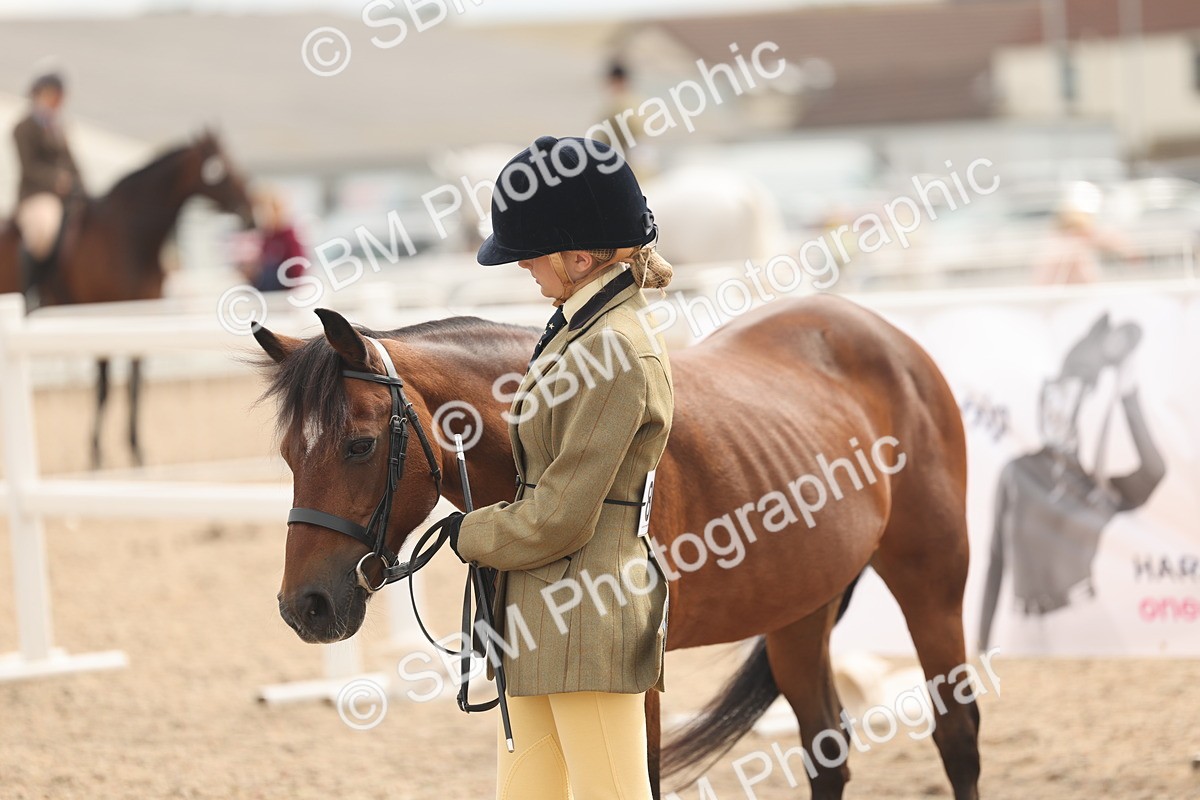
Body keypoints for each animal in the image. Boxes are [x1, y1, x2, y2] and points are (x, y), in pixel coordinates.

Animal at [0, 130, 254, 467]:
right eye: (220, 168)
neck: (128, 236)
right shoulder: (101, 315)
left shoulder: (140, 314)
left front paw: (136, 449)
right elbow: (104, 386)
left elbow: (134, 382)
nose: (251, 212)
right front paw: (96, 453)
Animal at [251, 294, 980, 800]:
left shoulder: (635, 685)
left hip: (932, 589)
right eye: (288, 452)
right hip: (799, 612)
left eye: (360, 444)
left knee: (958, 736)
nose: (304, 606)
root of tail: (882, 334)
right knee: (826, 748)